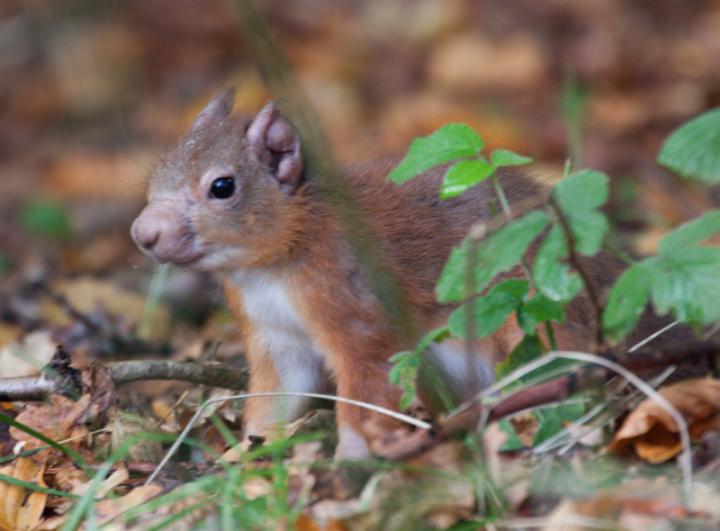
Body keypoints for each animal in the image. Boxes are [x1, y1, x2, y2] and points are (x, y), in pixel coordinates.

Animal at [131, 88, 598, 458]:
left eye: (222, 186)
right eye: (159, 169)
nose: (144, 233)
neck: (270, 268)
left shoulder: (360, 314)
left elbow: (365, 395)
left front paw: (352, 456)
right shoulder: (277, 339)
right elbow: (274, 400)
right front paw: (244, 453)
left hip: (529, 326)